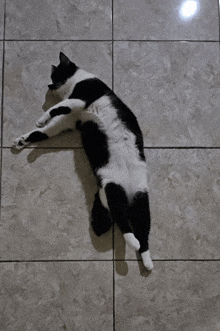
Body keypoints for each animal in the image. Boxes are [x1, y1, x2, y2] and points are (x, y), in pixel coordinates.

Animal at [12, 51, 153, 270]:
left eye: (55, 74)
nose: (48, 85)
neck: (75, 83)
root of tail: (128, 193)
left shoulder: (80, 98)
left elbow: (56, 108)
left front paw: (41, 118)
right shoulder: (69, 119)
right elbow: (44, 131)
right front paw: (23, 140)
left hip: (120, 190)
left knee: (125, 222)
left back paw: (136, 246)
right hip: (133, 200)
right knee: (139, 229)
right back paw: (146, 260)